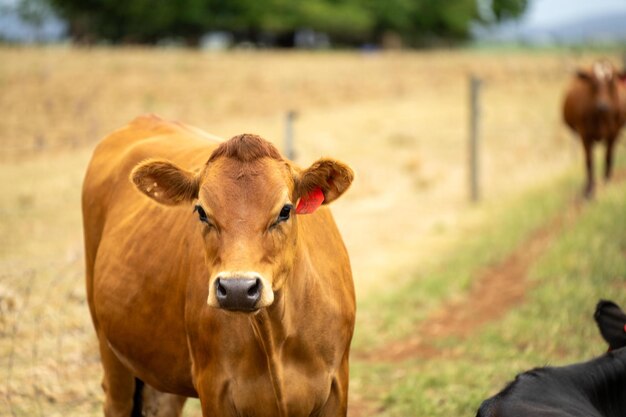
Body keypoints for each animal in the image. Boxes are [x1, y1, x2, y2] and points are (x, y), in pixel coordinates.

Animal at [81, 114, 356, 416]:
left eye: (286, 210)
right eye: (201, 211)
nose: (237, 289)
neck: (276, 336)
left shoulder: (336, 386)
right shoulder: (213, 388)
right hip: (110, 351)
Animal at [560, 59, 624, 199]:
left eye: (612, 83)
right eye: (593, 83)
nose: (602, 106)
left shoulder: (613, 134)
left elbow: (608, 157)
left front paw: (607, 183)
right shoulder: (585, 135)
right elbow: (589, 162)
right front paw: (589, 191)